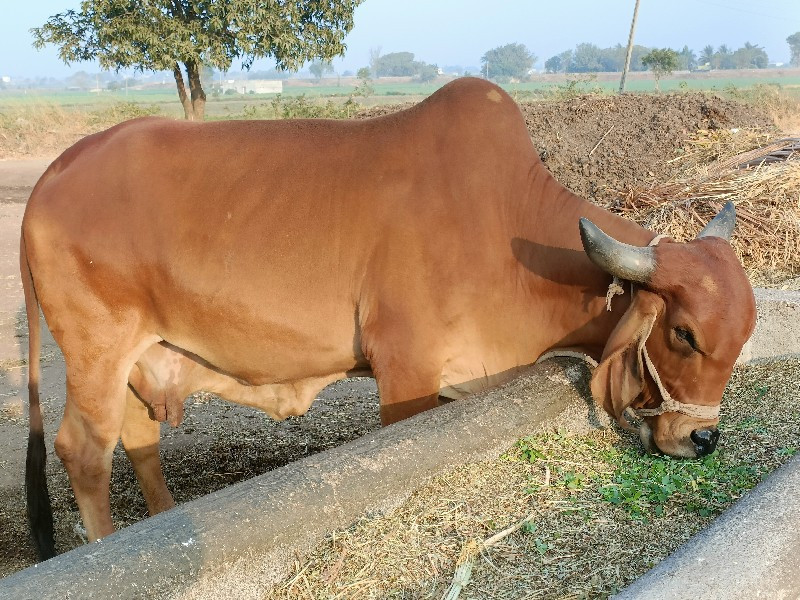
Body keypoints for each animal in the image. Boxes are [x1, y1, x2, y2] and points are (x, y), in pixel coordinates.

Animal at [20, 77, 756, 560]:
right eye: (685, 334)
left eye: (742, 338)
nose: (702, 440)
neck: (505, 225)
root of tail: (54, 173)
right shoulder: (406, 369)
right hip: (95, 348)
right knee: (83, 451)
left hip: (141, 354)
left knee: (138, 435)